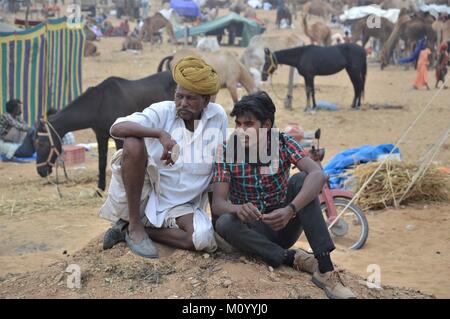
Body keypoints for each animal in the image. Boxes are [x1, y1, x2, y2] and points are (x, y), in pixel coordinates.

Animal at [36, 71, 177, 191]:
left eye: (41, 143)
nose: (40, 171)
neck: (101, 104)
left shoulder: (119, 139)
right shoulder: (101, 136)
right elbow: (102, 163)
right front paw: (99, 189)